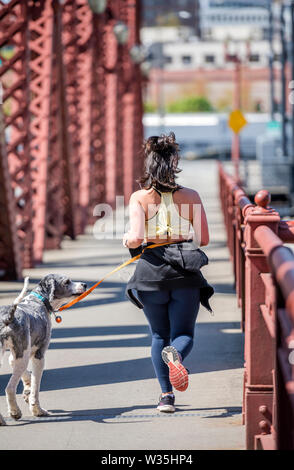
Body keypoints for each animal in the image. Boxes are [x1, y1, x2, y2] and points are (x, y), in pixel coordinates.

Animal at [0, 274, 87, 424]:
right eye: (67, 282)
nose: (85, 285)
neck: (39, 301)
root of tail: (7, 317)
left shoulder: (15, 356)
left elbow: (28, 376)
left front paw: (27, 390)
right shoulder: (38, 356)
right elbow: (36, 387)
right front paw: (37, 410)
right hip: (23, 358)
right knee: (9, 388)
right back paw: (15, 412)